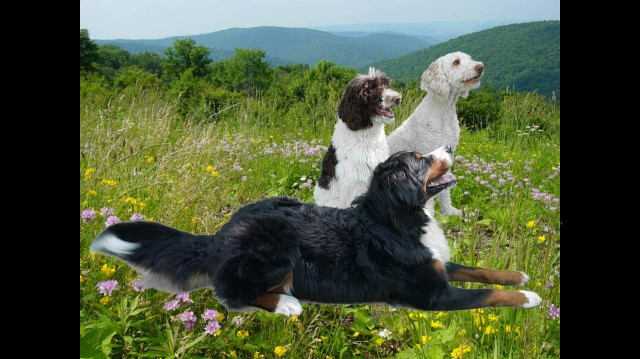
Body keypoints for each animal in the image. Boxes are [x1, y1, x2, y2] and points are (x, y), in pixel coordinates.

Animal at [90, 146, 540, 316]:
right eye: (420, 159)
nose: (449, 147)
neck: (399, 218)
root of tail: (223, 232)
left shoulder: (436, 265)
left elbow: (478, 270)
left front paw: (516, 275)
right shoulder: (430, 294)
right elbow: (484, 293)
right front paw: (529, 297)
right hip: (275, 245)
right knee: (233, 293)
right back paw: (286, 303)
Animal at [384, 52, 484, 217]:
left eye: (469, 58)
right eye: (456, 62)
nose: (480, 67)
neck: (443, 112)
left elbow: (445, 189)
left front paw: (448, 211)